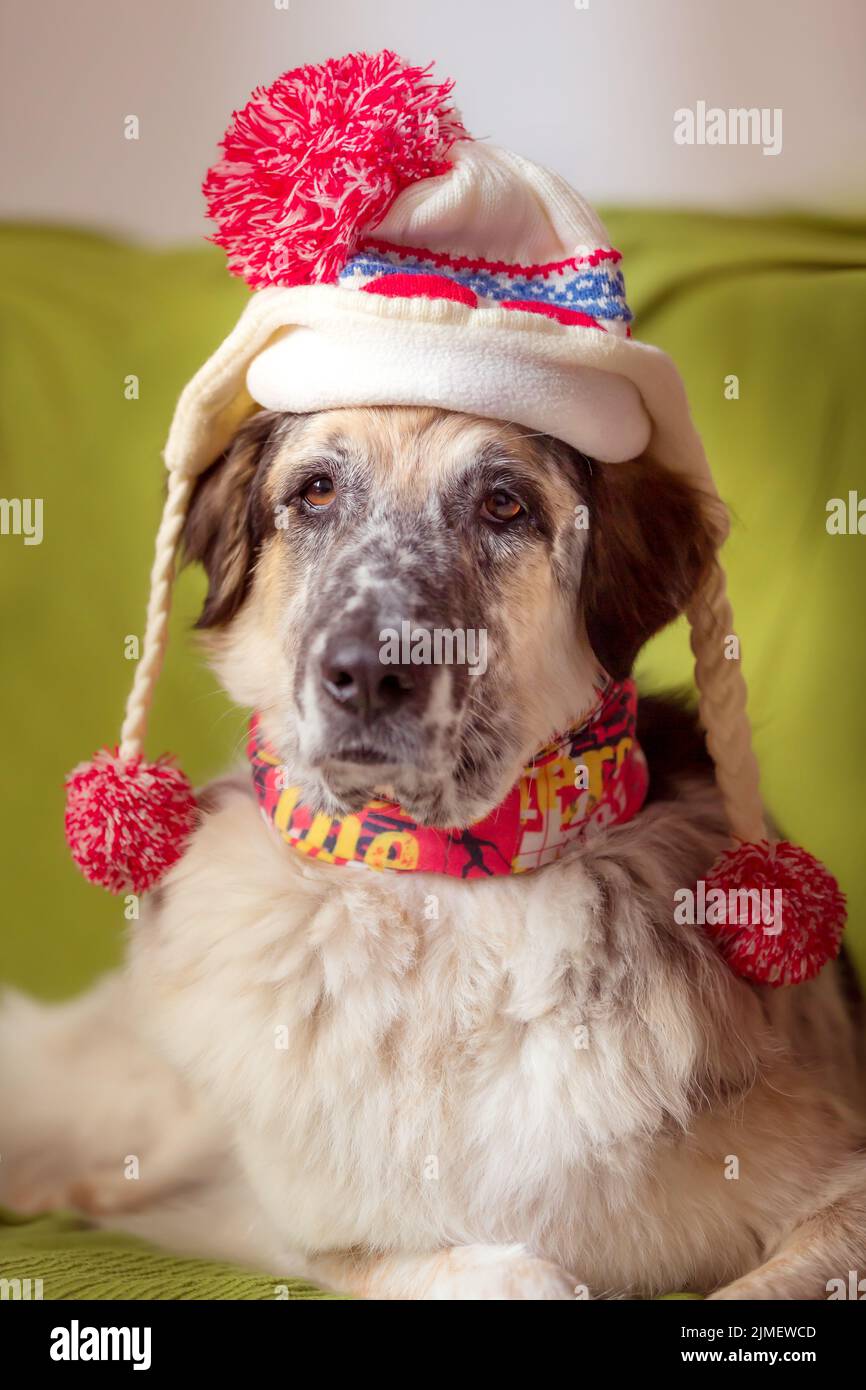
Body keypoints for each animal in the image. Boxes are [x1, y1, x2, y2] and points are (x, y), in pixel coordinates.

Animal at [1, 405, 866, 1295]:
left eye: (504, 505)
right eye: (316, 491)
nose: (366, 674)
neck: (441, 885)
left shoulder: (841, 1180)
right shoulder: (329, 1236)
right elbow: (479, 1270)